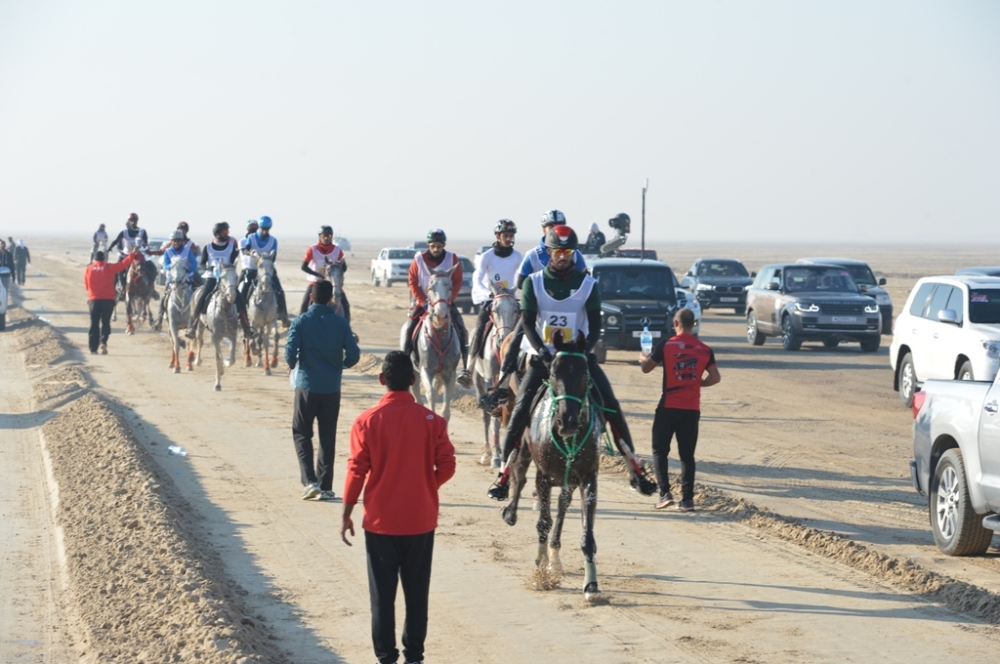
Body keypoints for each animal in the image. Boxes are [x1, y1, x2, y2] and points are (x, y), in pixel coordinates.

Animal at [470, 286, 520, 466]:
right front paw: (496, 456)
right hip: (478, 381)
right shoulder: (491, 380)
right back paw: (487, 452)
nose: (503, 338)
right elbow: (493, 418)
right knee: (486, 416)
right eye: (494, 309)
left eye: (516, 309)